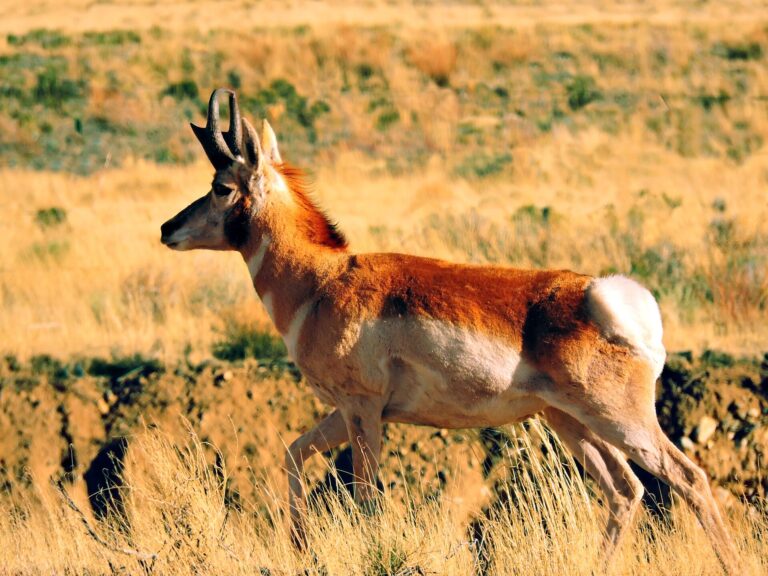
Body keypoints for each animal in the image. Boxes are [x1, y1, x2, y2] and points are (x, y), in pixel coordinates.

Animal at [160, 89, 741, 574]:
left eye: (221, 187)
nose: (167, 228)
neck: (322, 280)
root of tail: (601, 295)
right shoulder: (344, 412)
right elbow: (292, 455)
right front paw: (301, 549)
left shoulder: (363, 411)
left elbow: (366, 499)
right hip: (570, 421)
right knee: (624, 490)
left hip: (618, 420)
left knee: (688, 478)